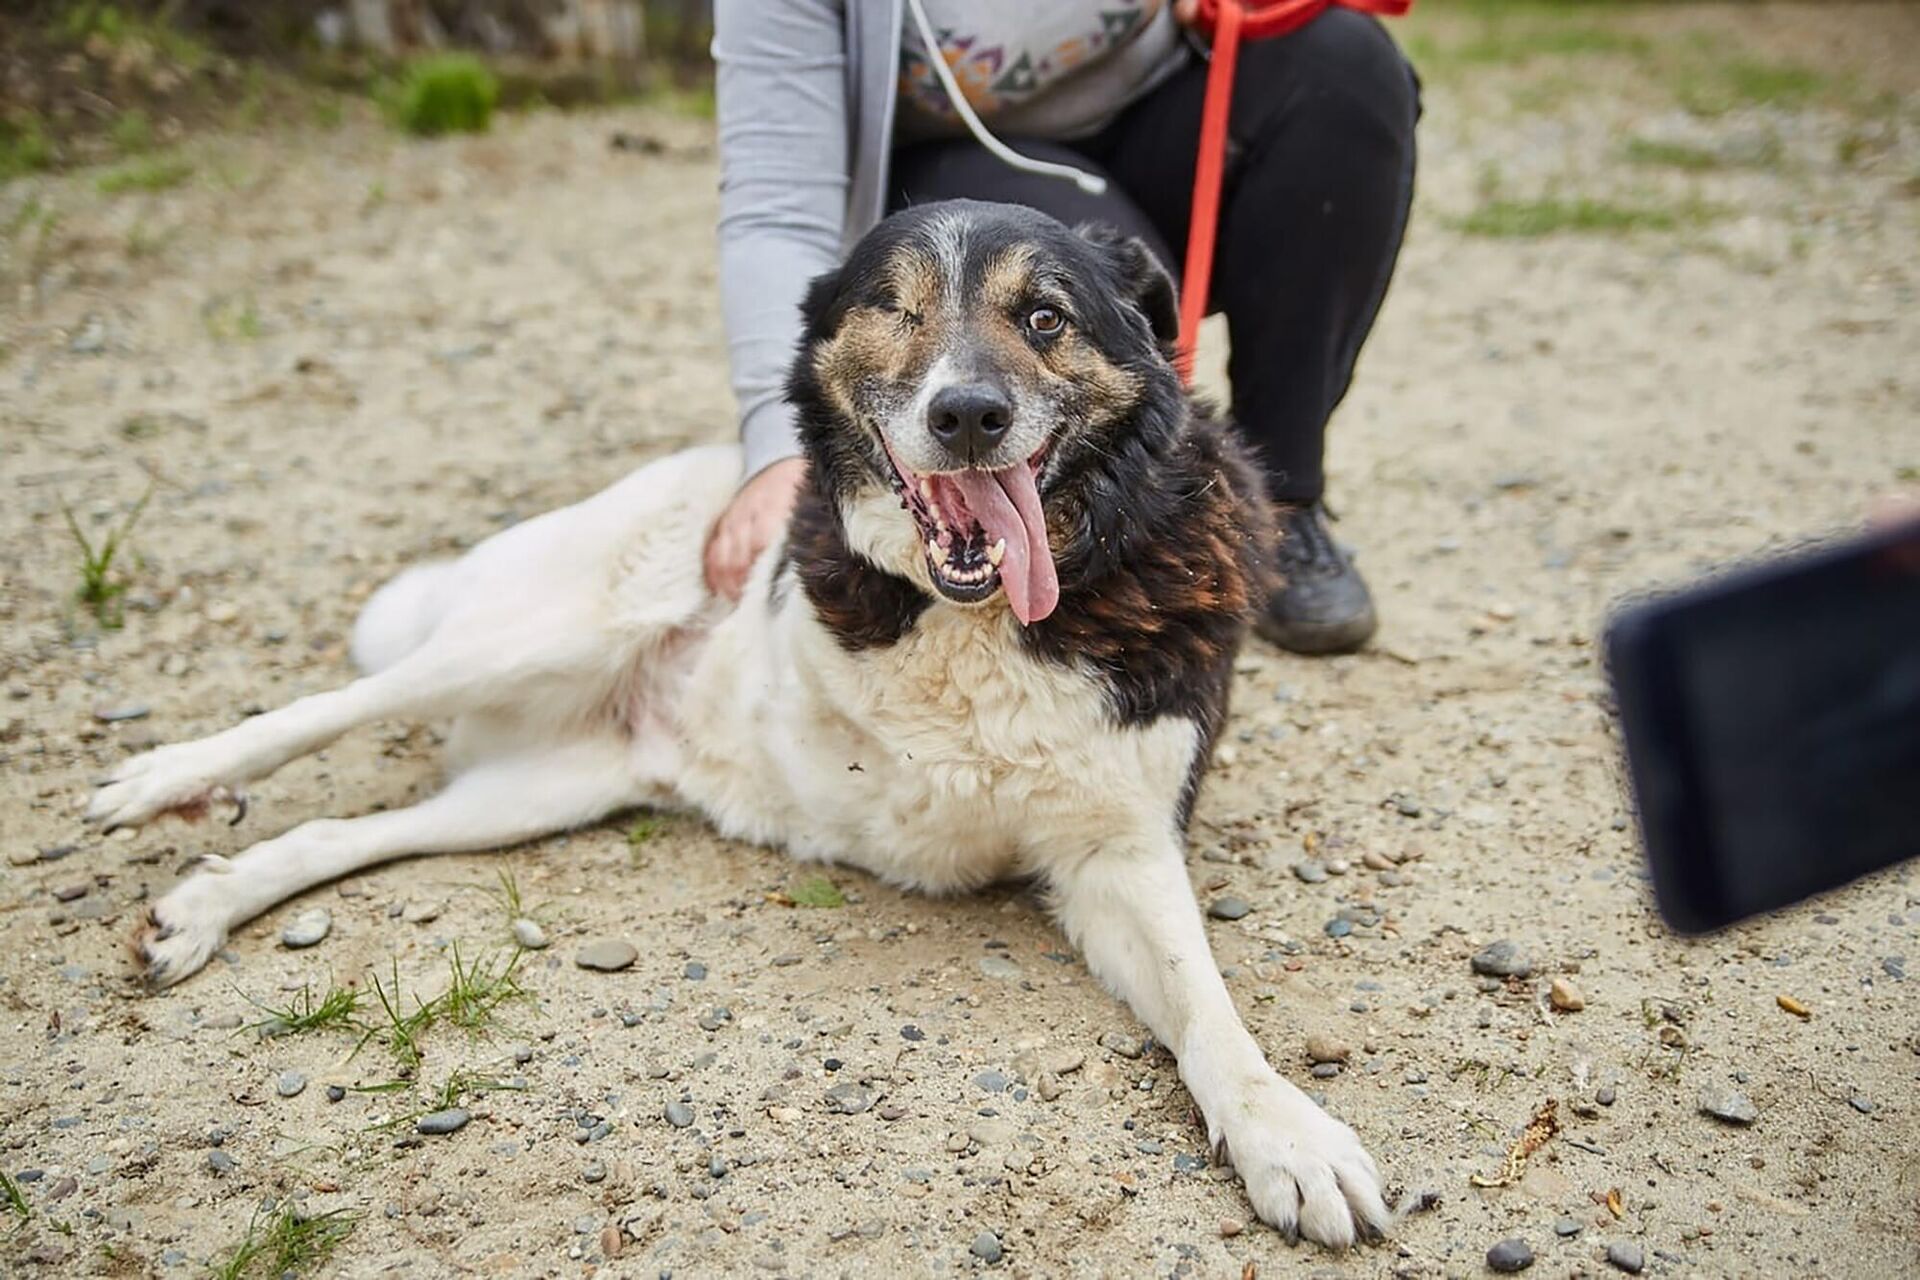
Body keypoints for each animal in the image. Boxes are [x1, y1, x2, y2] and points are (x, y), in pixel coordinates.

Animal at [90, 202, 1390, 1251]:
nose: (968, 414)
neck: (983, 614)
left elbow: (1210, 1011)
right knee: (331, 706)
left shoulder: (1117, 851)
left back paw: (203, 905)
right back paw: (159, 779)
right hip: (530, 635)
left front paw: (1286, 1134)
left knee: (352, 834)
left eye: (1046, 316)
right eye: (895, 309)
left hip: (543, 789)